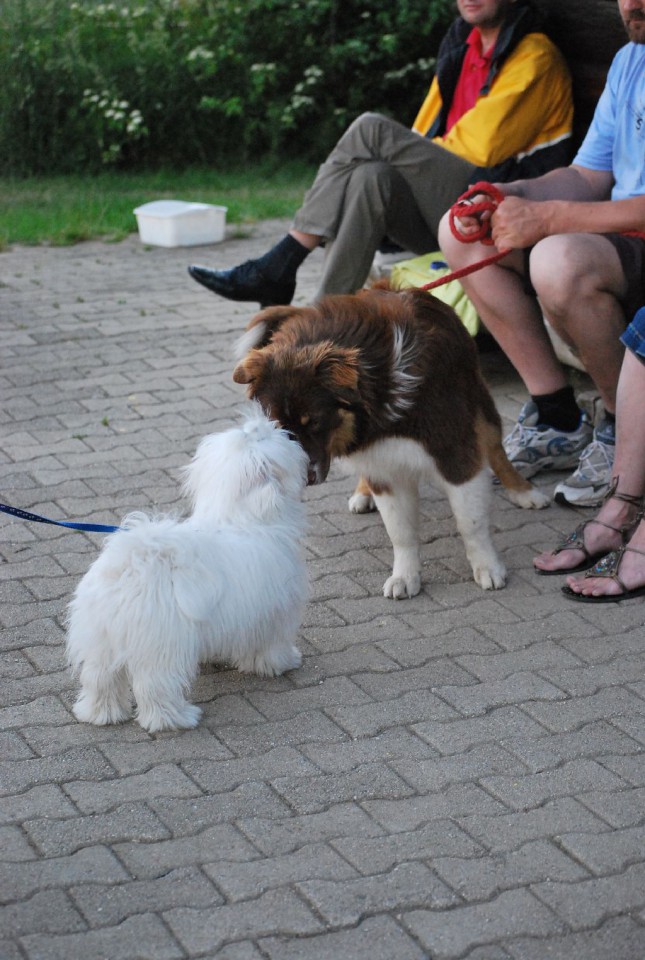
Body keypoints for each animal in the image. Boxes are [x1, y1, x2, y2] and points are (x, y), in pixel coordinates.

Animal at [66, 402, 308, 732]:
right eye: (278, 439)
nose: (292, 435)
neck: (240, 516)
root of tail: (128, 568)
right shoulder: (274, 610)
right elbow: (271, 643)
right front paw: (281, 662)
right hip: (160, 645)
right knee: (155, 686)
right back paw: (175, 718)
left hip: (100, 639)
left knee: (100, 679)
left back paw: (100, 714)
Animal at [234, 284, 544, 600]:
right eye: (278, 426)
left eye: (316, 420)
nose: (304, 480)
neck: (381, 384)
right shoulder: (382, 466)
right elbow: (400, 531)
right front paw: (405, 576)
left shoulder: (455, 451)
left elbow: (470, 522)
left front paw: (488, 567)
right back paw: (363, 494)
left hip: (479, 404)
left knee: (496, 449)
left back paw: (524, 491)